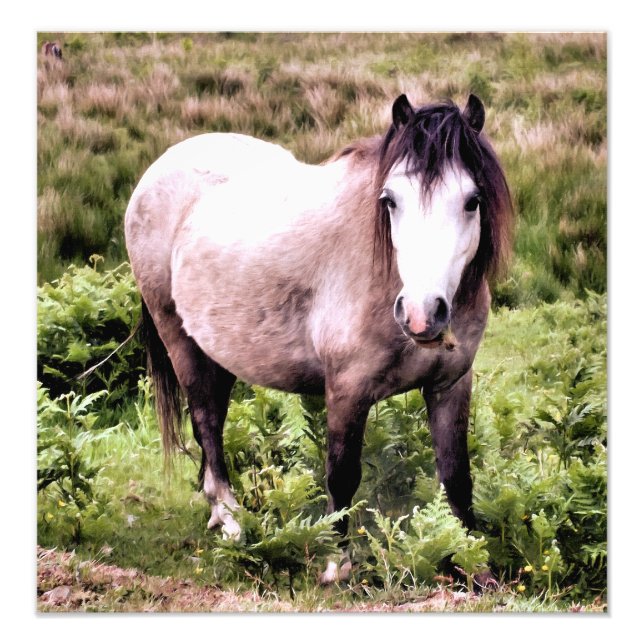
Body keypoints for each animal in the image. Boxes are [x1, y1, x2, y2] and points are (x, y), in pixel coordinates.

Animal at [125, 93, 513, 584]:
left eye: (472, 200)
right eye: (390, 200)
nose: (422, 314)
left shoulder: (451, 385)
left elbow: (457, 476)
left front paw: (473, 564)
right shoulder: (347, 389)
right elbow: (342, 474)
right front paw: (336, 564)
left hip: (219, 350)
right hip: (179, 338)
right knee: (207, 423)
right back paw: (231, 519)